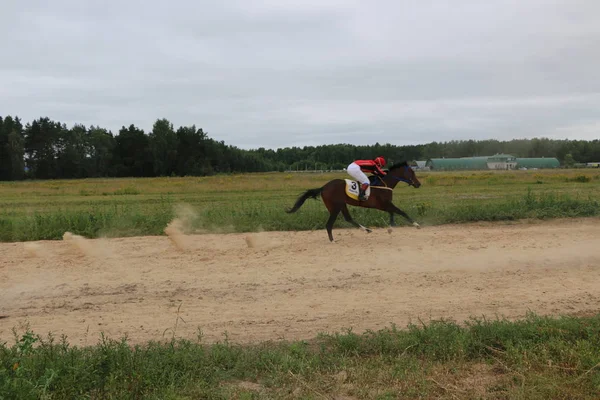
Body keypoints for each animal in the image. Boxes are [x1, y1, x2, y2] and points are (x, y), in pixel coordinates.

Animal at [286, 162, 422, 241]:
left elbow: (393, 213)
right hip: (335, 207)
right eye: (412, 172)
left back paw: (366, 229)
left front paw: (390, 228)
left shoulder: (384, 205)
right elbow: (401, 212)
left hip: (342, 204)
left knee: (348, 218)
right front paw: (416, 225)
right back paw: (332, 240)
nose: (418, 184)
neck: (384, 184)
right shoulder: (383, 204)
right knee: (329, 224)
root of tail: (324, 187)